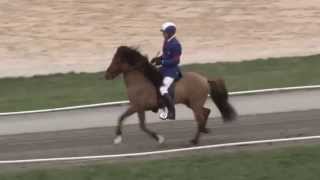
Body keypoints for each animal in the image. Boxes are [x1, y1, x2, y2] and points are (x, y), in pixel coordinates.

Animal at [104, 46, 235, 145]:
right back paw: (200, 134)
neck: (139, 81)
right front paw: (118, 137)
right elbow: (121, 118)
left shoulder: (139, 107)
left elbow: (141, 125)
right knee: (206, 112)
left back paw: (197, 137)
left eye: (117, 61)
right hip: (190, 103)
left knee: (200, 117)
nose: (107, 75)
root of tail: (204, 79)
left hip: (195, 104)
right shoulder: (135, 107)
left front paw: (159, 138)